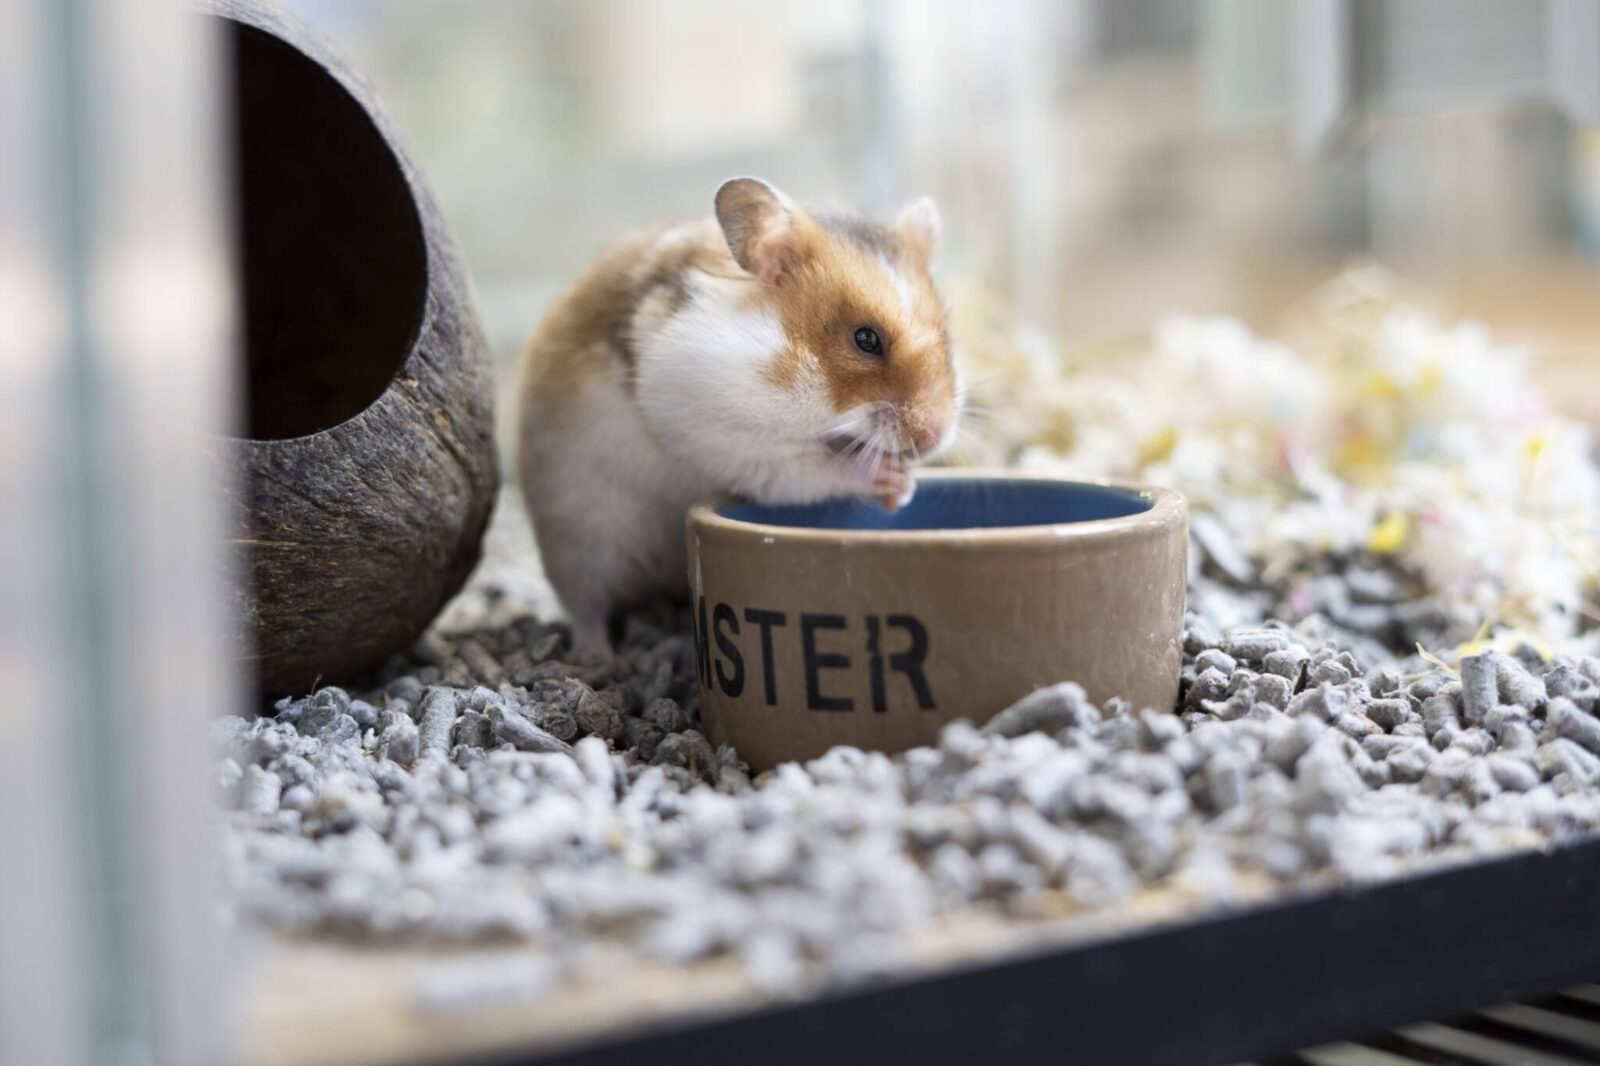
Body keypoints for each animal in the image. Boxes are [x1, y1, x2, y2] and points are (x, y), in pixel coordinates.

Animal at [516, 177, 962, 661]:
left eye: (946, 338)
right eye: (866, 340)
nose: (933, 437)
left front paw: (903, 489)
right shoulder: (715, 429)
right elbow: (802, 470)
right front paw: (897, 484)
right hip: (580, 532)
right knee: (585, 605)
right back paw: (599, 661)